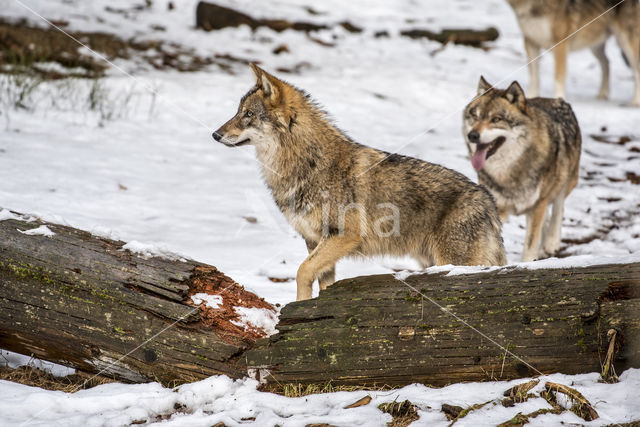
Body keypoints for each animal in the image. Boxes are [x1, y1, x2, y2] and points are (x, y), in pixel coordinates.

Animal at [214, 65, 504, 302]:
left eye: (248, 114)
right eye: (238, 112)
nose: (215, 134)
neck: (307, 163)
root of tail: (489, 202)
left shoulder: (343, 236)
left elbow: (302, 271)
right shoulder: (314, 240)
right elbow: (323, 283)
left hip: (453, 262)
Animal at [504, 0, 640, 106]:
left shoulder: (560, 44)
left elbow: (558, 77)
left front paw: (557, 100)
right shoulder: (530, 42)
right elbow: (534, 76)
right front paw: (531, 97)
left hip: (625, 41)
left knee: (635, 69)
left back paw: (635, 102)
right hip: (595, 45)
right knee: (606, 62)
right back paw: (603, 93)